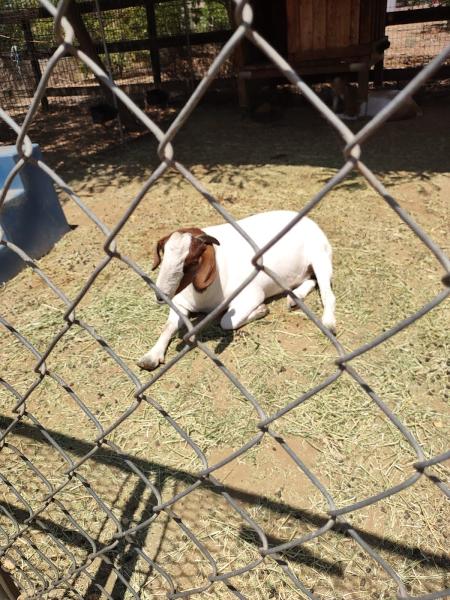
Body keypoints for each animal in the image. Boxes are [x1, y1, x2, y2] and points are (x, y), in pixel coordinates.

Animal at [139, 210, 336, 370]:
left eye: (191, 262)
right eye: (164, 256)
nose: (160, 296)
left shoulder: (251, 294)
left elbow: (227, 321)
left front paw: (261, 310)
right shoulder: (180, 302)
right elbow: (168, 326)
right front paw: (150, 357)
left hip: (320, 256)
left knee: (327, 292)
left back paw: (328, 323)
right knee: (311, 279)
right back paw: (295, 298)